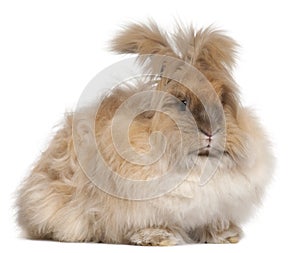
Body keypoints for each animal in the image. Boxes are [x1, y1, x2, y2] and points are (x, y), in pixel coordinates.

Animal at [16, 22, 274, 245]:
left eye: (221, 101)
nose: (211, 132)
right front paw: (161, 238)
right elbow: (148, 222)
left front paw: (225, 235)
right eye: (182, 102)